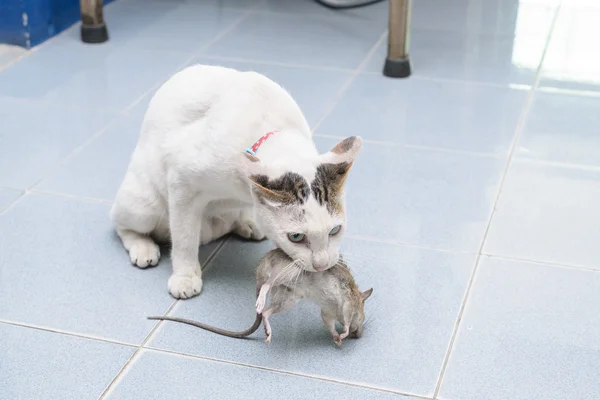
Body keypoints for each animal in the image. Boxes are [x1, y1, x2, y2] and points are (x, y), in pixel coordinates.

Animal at [110, 64, 364, 298]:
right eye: (296, 237)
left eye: (335, 230)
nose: (322, 265)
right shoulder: (182, 183)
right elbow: (184, 238)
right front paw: (185, 277)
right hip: (144, 206)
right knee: (121, 223)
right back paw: (143, 247)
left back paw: (247, 224)